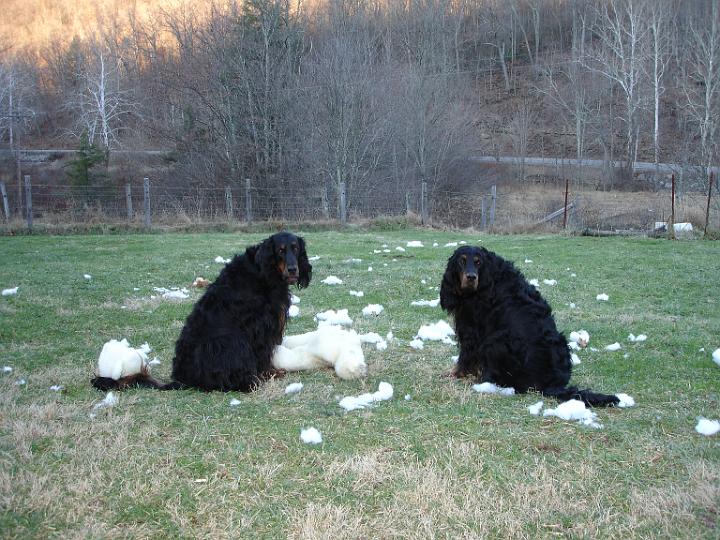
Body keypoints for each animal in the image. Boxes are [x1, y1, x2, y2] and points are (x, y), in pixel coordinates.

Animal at [91, 232, 310, 392]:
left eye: (296, 248)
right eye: (280, 250)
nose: (293, 269)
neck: (263, 271)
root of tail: (183, 379)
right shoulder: (259, 327)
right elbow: (262, 354)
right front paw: (269, 373)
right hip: (230, 341)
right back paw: (249, 382)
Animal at [438, 246, 620, 404]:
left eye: (478, 262)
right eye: (462, 261)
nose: (471, 277)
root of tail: (550, 383)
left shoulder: (471, 330)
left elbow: (465, 358)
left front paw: (455, 374)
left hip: (496, 340)